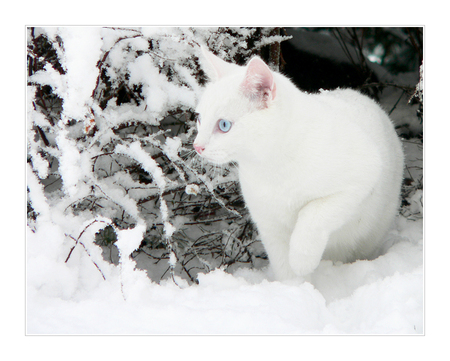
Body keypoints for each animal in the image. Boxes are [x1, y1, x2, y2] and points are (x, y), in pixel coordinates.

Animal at [193, 46, 404, 280]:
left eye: (224, 125)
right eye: (199, 119)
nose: (197, 146)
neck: (271, 167)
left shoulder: (363, 174)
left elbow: (312, 214)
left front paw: (302, 259)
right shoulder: (269, 225)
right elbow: (285, 268)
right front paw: (295, 287)